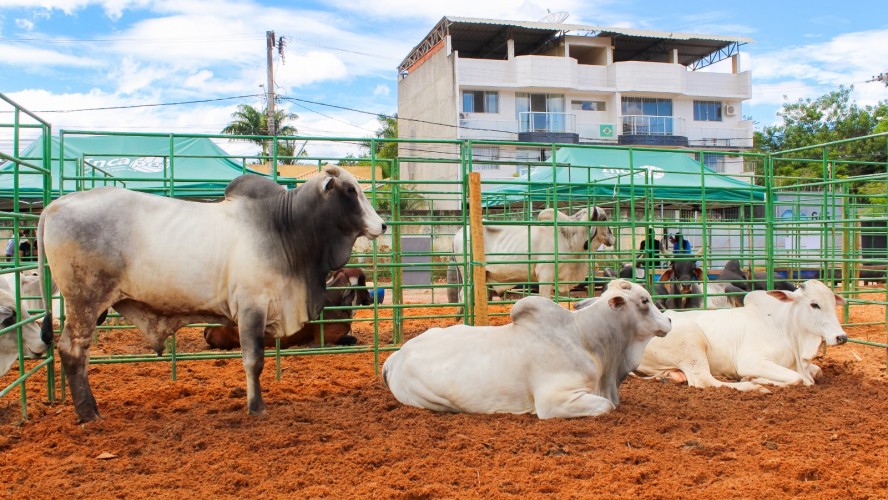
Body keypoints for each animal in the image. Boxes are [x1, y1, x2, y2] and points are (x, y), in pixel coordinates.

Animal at [384, 280, 672, 420]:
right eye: (644, 301)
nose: (669, 320)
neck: (584, 337)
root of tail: (396, 357)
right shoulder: (555, 399)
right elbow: (606, 406)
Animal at [448, 205, 612, 302]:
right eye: (604, 219)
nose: (613, 237)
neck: (567, 235)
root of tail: (458, 233)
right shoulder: (545, 274)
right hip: (469, 274)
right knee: (464, 296)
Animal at [636, 280, 848, 392]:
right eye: (814, 304)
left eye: (833, 303)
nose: (842, 337)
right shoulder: (752, 361)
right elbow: (797, 379)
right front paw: (755, 380)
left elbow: (816, 372)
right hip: (692, 342)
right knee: (705, 381)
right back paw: (753, 387)